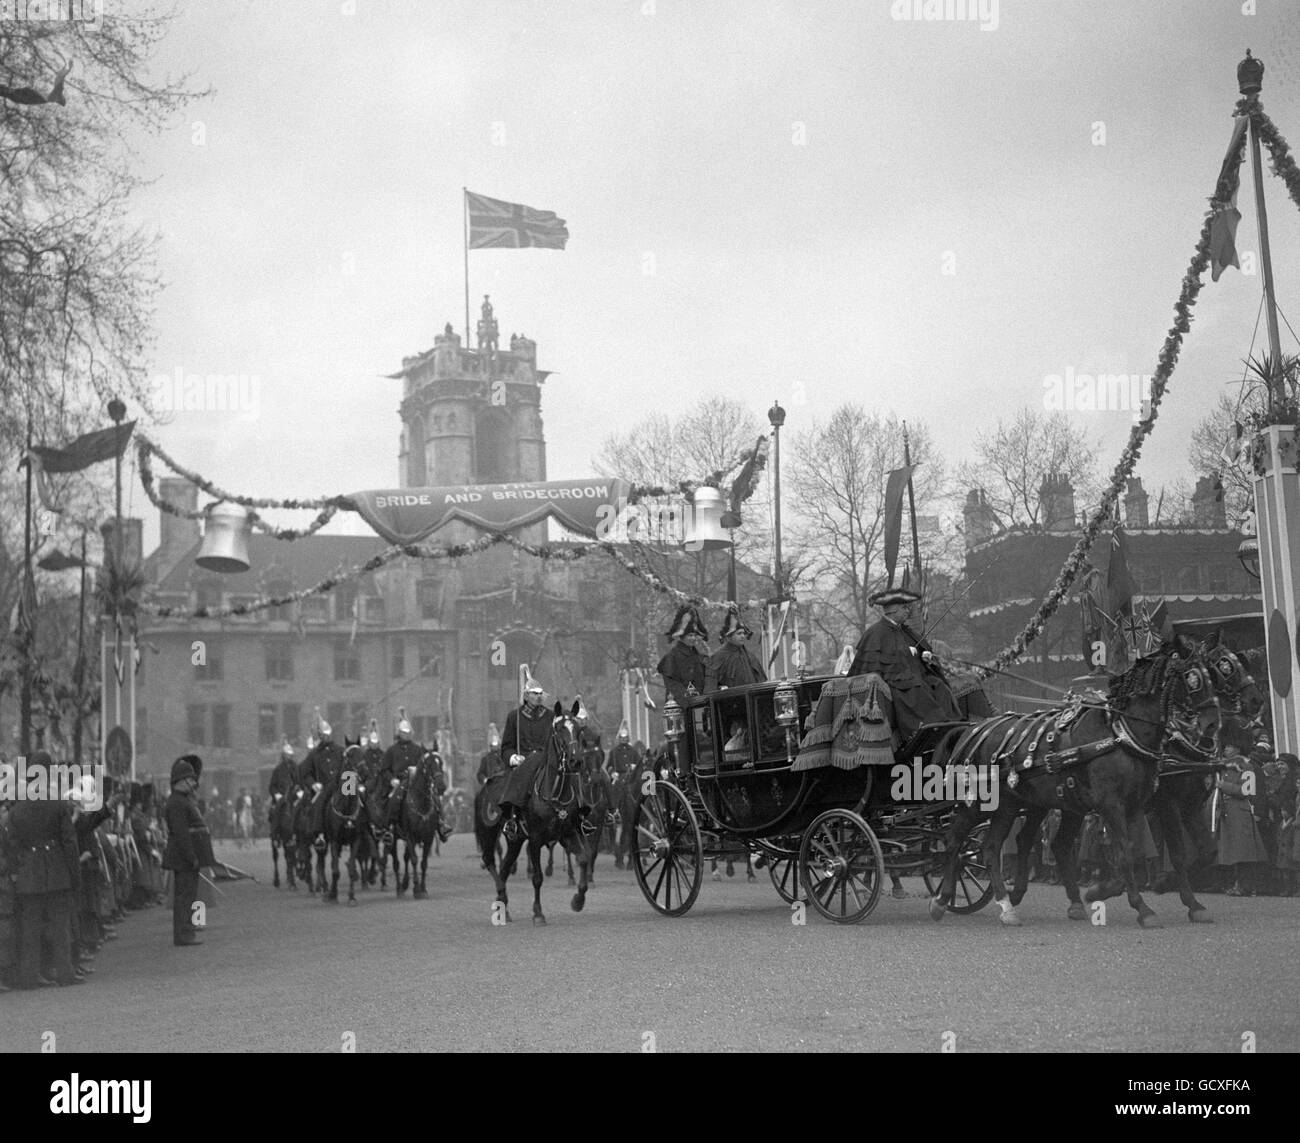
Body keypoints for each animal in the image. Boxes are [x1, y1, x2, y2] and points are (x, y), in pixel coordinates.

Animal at [475, 696, 600, 931]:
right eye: (559, 730)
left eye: (578, 729)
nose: (576, 761)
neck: (555, 792)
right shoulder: (534, 839)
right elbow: (538, 878)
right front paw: (538, 914)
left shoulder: (568, 834)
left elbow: (583, 858)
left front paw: (578, 901)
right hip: (489, 833)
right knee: (490, 861)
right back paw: (501, 899)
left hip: (514, 840)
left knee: (504, 867)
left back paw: (504, 906)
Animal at [935, 644, 1216, 931]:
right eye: (1193, 679)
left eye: (1217, 674)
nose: (1211, 724)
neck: (1121, 733)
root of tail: (973, 731)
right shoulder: (1126, 804)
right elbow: (1132, 853)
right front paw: (1141, 906)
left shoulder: (1145, 804)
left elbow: (1150, 851)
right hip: (980, 804)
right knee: (956, 841)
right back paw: (945, 899)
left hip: (1024, 804)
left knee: (1004, 846)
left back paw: (1014, 903)